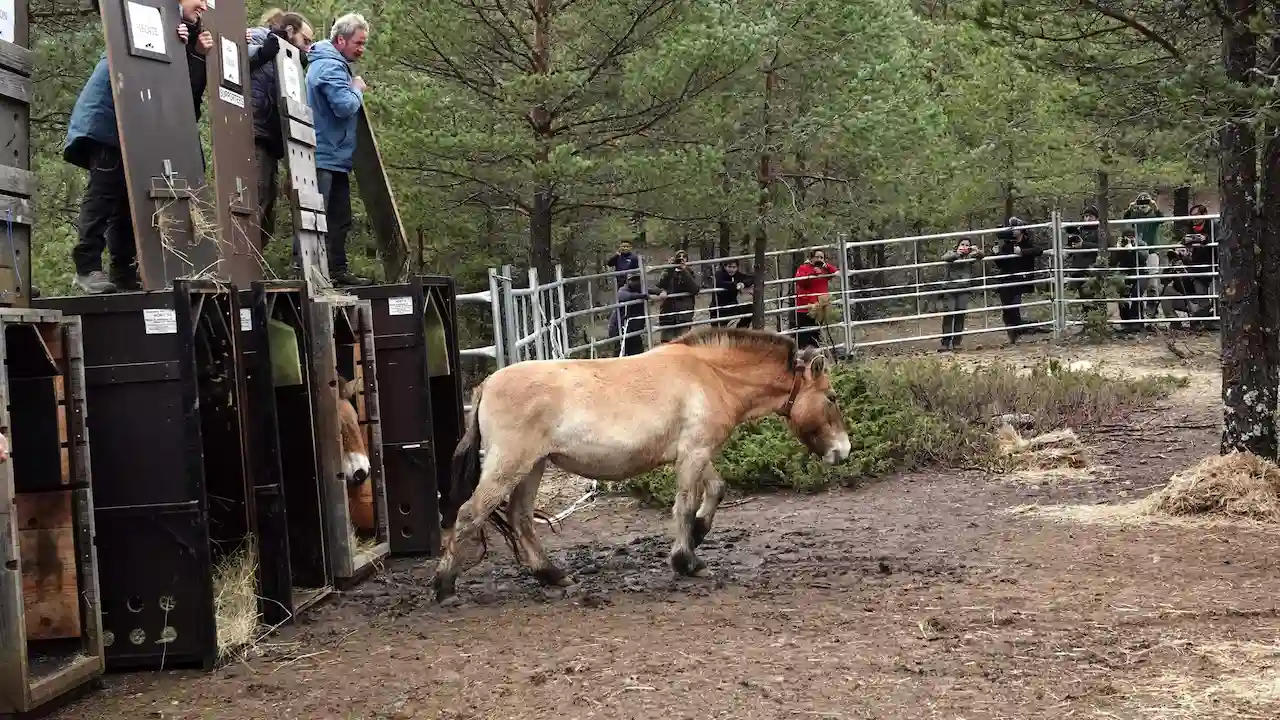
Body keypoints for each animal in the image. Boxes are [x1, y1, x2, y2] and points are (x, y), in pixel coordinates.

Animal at [432, 326, 852, 603]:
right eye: (831, 396)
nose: (843, 451)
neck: (710, 375)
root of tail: (487, 385)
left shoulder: (692, 453)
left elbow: (715, 490)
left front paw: (698, 535)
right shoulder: (695, 452)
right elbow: (684, 504)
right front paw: (687, 561)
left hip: (533, 467)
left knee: (519, 518)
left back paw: (552, 576)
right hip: (511, 465)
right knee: (469, 514)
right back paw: (444, 586)